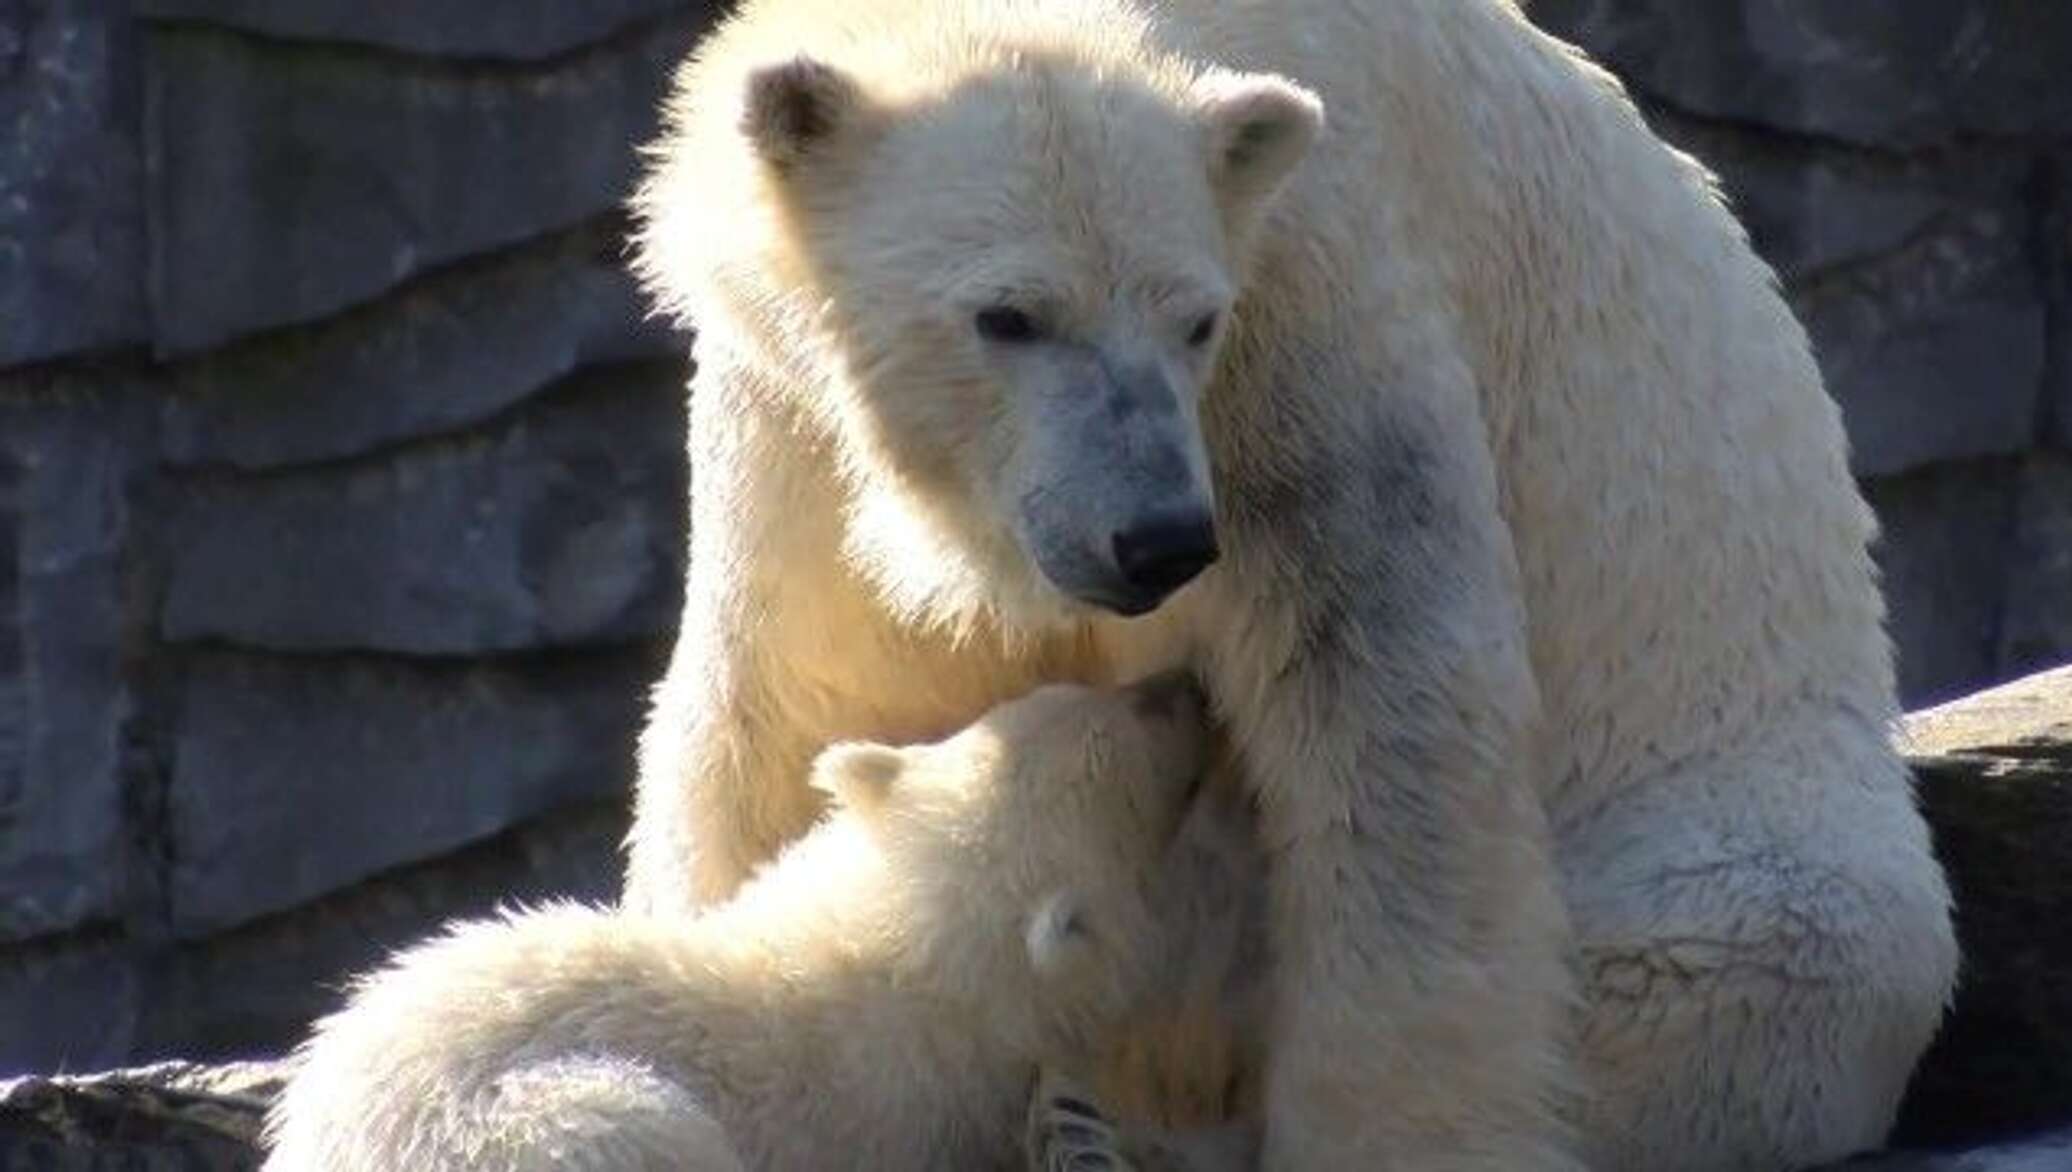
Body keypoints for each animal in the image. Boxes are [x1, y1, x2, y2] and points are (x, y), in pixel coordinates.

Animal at [625, 0, 1955, 1167]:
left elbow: (1383, 720)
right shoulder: (788, 416)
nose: (1155, 539)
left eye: (1193, 319)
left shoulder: (1309, 319)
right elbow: (785, 699)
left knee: (1771, 950)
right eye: (1006, 315)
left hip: (1715, 825)